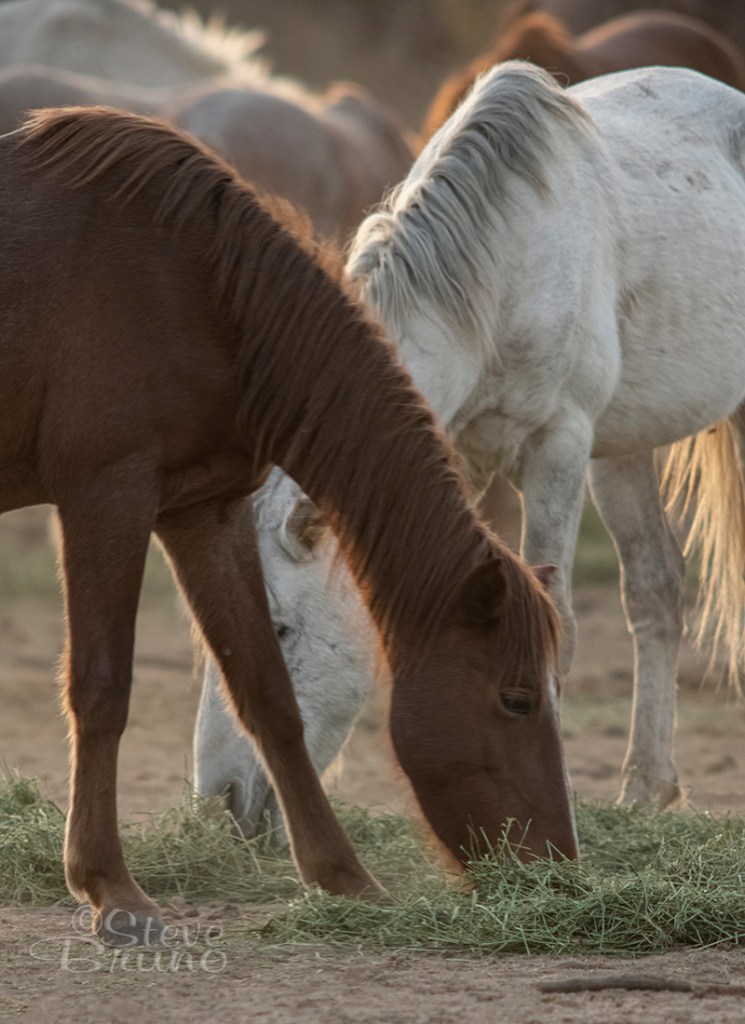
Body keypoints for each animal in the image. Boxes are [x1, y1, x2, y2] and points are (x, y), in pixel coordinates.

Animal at [0, 104, 574, 943]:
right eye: (516, 699)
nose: (556, 869)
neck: (196, 289)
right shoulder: (107, 495)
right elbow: (102, 689)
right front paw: (111, 889)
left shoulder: (202, 509)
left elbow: (267, 694)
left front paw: (342, 875)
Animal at [197, 62, 745, 821]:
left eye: (280, 629)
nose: (219, 801)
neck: (501, 266)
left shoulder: (557, 445)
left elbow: (556, 624)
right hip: (620, 450)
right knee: (654, 589)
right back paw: (644, 788)